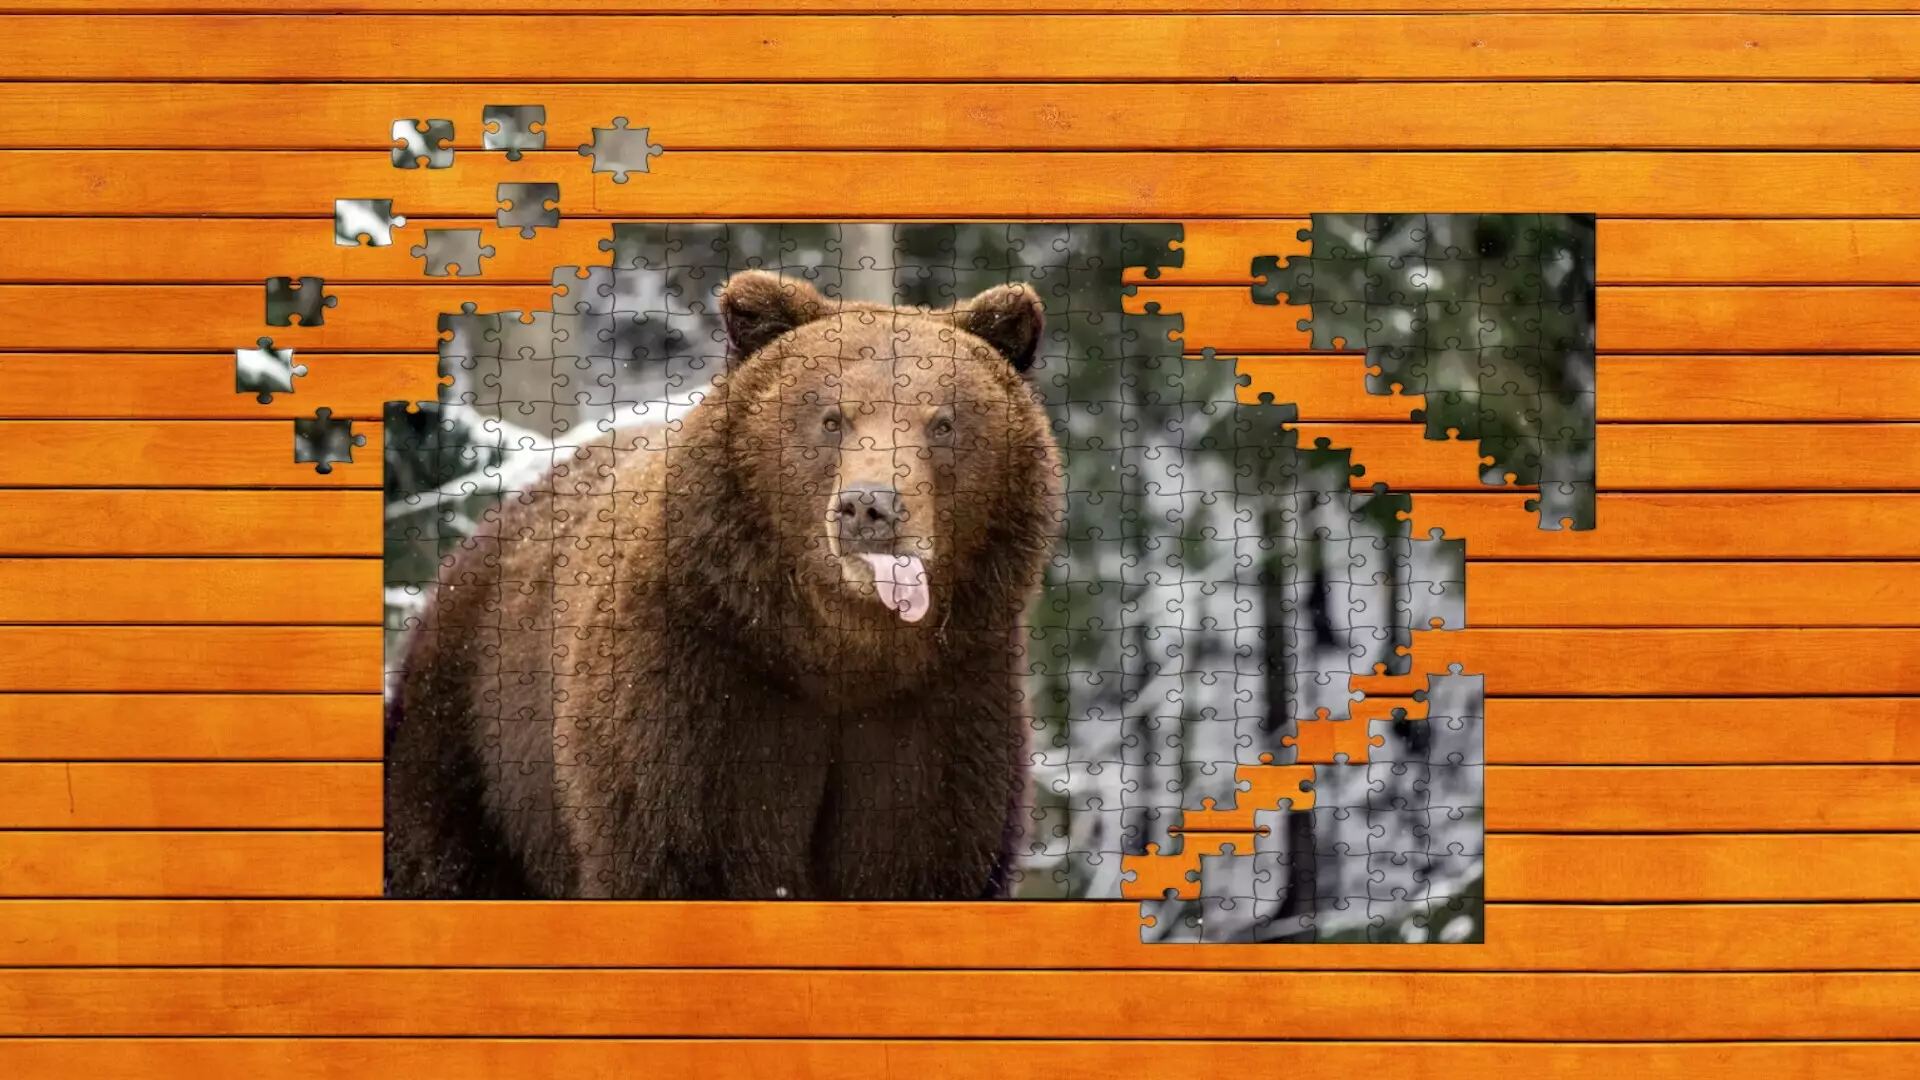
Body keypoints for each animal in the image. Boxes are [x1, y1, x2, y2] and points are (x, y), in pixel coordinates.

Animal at [383, 269, 1066, 900]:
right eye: (831, 418)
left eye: (943, 423)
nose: (869, 506)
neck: (838, 652)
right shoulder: (699, 687)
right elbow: (682, 852)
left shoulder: (943, 707)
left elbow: (920, 859)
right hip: (477, 733)